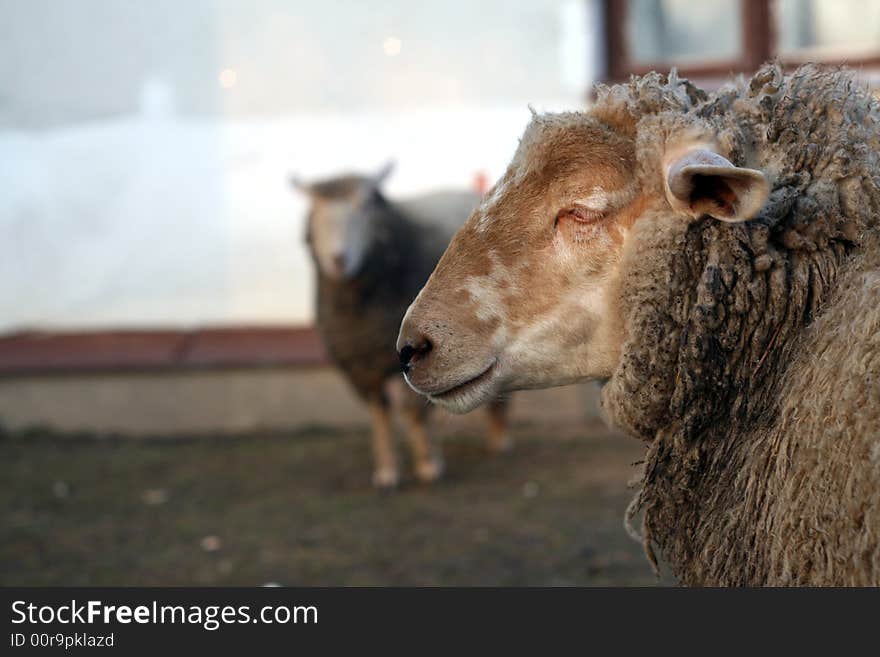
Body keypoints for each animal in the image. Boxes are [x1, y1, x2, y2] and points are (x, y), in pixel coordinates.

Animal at [294, 167, 508, 486]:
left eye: (363, 206)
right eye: (315, 210)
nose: (338, 259)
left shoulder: (409, 351)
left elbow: (412, 409)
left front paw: (428, 465)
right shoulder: (362, 363)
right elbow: (380, 413)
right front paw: (387, 470)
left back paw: (498, 438)